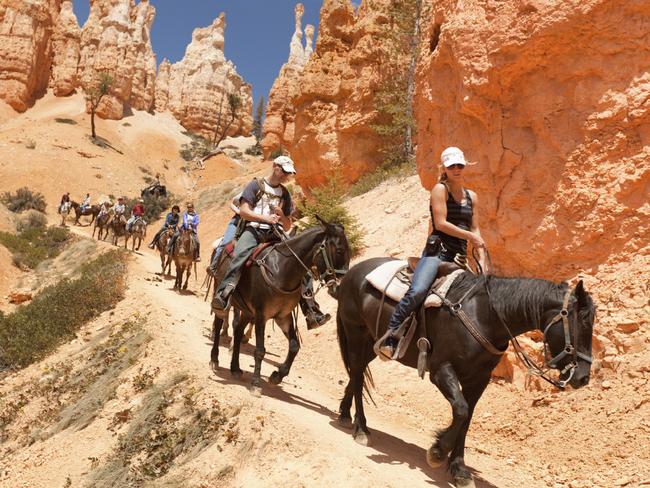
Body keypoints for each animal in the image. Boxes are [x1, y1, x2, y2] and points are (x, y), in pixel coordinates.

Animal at [210, 221, 350, 396]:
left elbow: (294, 346)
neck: (281, 270)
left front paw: (276, 376)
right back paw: (214, 359)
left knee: (238, 331)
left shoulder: (283, 316)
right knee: (218, 324)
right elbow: (260, 350)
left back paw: (235, 368)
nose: (342, 284)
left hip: (247, 312)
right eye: (339, 250)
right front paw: (256, 383)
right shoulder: (261, 315)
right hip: (222, 296)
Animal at [336, 258, 596, 486]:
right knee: (357, 375)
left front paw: (459, 469)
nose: (583, 377)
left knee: (356, 374)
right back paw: (361, 429)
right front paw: (438, 452)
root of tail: (353, 270)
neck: (485, 316)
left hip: (371, 342)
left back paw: (344, 414)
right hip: (356, 334)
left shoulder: (479, 380)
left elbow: (467, 418)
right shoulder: (441, 370)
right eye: (583, 322)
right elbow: (460, 410)